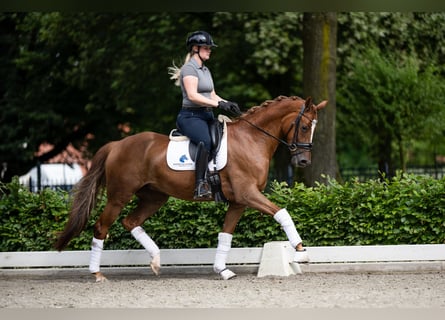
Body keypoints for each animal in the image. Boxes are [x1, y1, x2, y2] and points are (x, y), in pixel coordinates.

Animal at [54, 94, 326, 280]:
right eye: (304, 127)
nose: (303, 162)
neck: (252, 139)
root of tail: (117, 145)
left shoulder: (239, 202)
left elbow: (225, 235)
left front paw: (222, 270)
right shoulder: (248, 194)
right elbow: (282, 212)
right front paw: (300, 249)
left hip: (154, 197)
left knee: (130, 222)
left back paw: (156, 260)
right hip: (119, 196)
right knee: (102, 226)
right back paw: (97, 274)